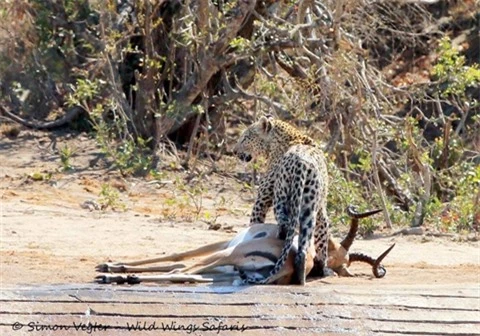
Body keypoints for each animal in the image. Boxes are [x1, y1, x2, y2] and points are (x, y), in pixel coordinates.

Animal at [232, 115, 330, 284]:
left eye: (245, 138)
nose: (234, 151)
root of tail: (301, 164)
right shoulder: (321, 207)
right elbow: (322, 236)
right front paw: (323, 267)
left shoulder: (263, 198)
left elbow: (255, 222)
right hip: (309, 206)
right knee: (305, 238)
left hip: (280, 199)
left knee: (286, 225)